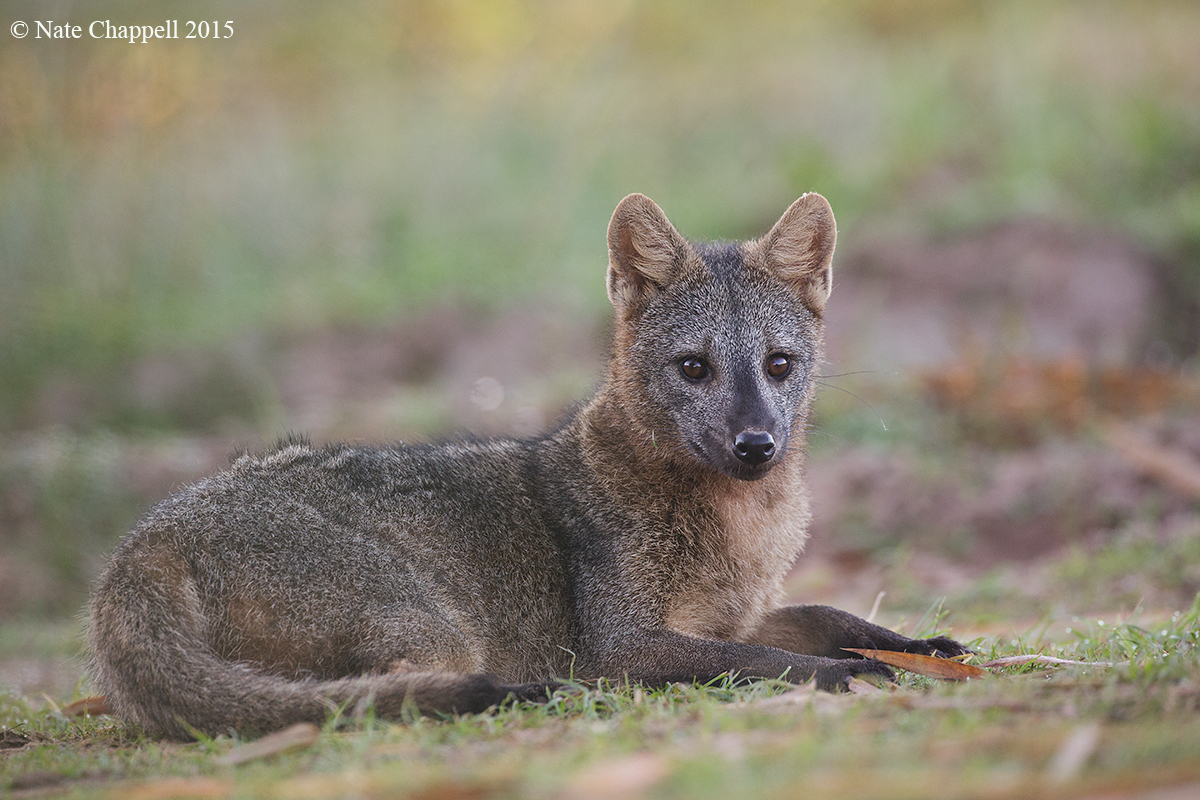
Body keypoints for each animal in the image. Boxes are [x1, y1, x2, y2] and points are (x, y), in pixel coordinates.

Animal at [88, 192, 969, 740]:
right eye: (694, 369)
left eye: (779, 366)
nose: (757, 444)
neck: (741, 535)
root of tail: (142, 539)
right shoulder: (625, 642)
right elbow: (763, 659)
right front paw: (840, 673)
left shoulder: (733, 613)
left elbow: (830, 615)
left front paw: (921, 645)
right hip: (436, 629)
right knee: (378, 697)